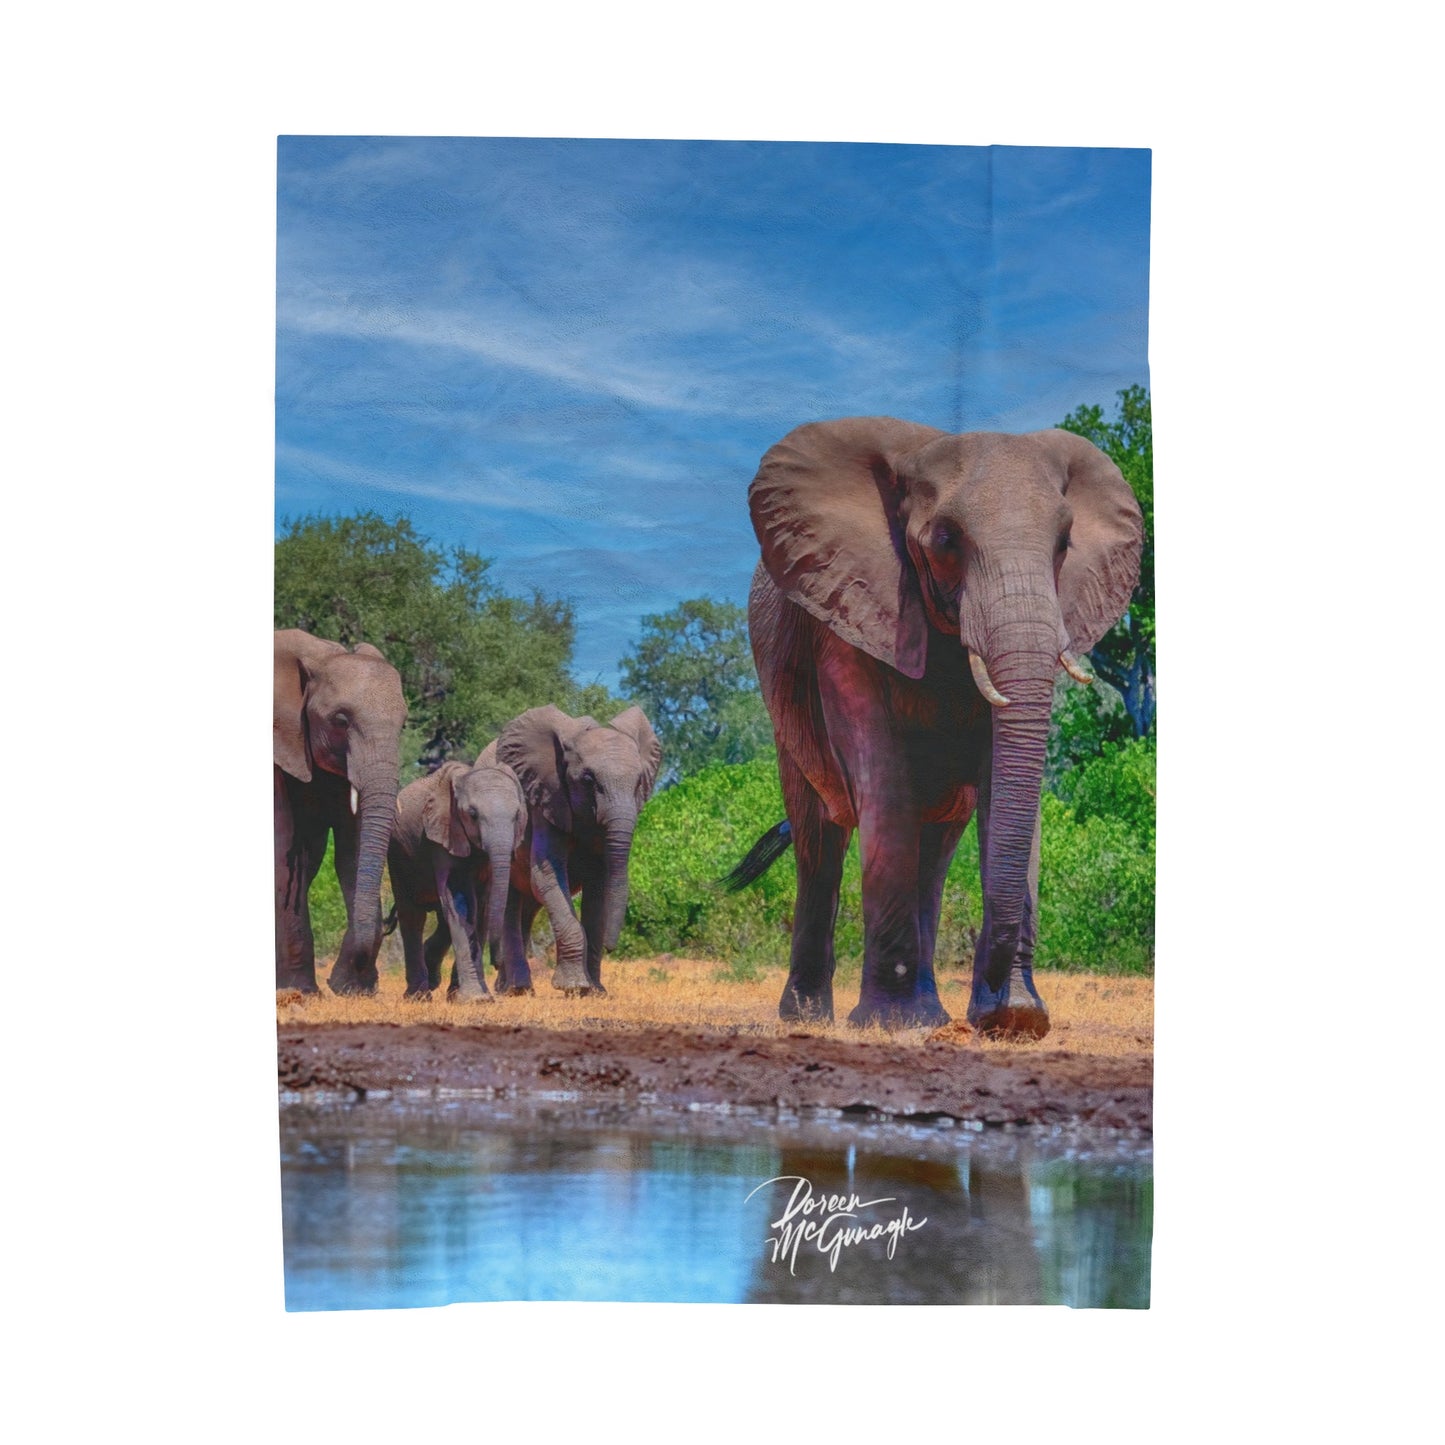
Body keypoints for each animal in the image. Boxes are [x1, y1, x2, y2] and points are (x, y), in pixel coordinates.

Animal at [274, 628, 408, 994]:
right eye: (341, 720)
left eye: (404, 725)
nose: (335, 982)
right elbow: (281, 849)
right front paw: (300, 991)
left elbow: (353, 851)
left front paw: (352, 989)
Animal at [386, 757, 529, 1000]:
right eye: (472, 814)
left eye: (517, 815)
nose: (498, 963)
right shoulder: (443, 833)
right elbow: (461, 901)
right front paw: (475, 999)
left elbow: (481, 909)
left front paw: (476, 997)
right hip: (397, 854)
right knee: (412, 915)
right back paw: (419, 996)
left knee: (443, 918)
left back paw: (434, 979)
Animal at [494, 705, 662, 995]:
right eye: (588, 779)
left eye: (639, 781)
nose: (612, 947)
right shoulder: (546, 799)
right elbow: (547, 875)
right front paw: (573, 986)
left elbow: (600, 888)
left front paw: (594, 992)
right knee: (511, 904)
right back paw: (516, 990)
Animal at [727, 419, 1142, 1035]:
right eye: (946, 540)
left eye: (1064, 545)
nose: (997, 1010)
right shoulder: (848, 612)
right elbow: (884, 779)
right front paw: (890, 1024)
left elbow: (1003, 785)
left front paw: (1015, 1017)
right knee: (819, 839)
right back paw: (811, 1018)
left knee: (936, 850)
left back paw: (930, 1014)